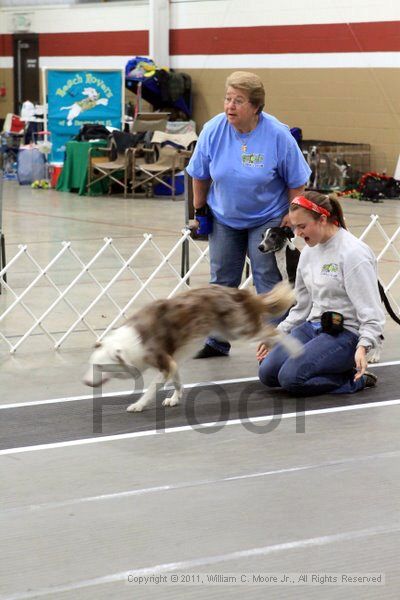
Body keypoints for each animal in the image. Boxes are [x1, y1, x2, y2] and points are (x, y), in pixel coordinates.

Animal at [83, 282, 300, 412]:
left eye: (100, 366)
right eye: (91, 364)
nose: (85, 382)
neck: (130, 342)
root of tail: (237, 292)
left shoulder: (163, 361)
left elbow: (152, 387)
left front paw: (139, 404)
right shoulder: (172, 361)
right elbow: (177, 380)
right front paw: (175, 398)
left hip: (239, 328)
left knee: (271, 330)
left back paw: (295, 348)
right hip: (227, 331)